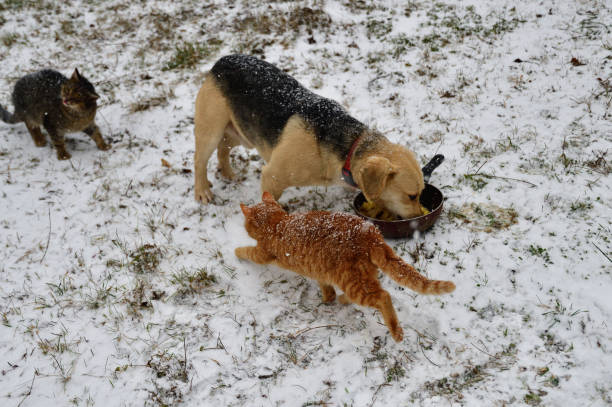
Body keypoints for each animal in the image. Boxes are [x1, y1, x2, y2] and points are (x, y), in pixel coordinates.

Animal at [194, 55, 424, 220]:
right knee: (200, 160)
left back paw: (228, 173)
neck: (348, 148)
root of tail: (222, 61)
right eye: (412, 196)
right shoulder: (272, 177)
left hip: (241, 134)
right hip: (211, 130)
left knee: (223, 149)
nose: (418, 218)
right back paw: (202, 190)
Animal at [237, 193, 456, 342]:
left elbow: (247, 251)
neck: (277, 223)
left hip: (353, 281)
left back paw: (395, 331)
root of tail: (369, 232)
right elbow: (326, 287)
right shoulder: (319, 270)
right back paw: (342, 299)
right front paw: (328, 299)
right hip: (363, 275)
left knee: (383, 297)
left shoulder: (261, 254)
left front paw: (236, 252)